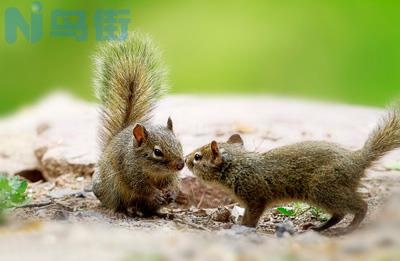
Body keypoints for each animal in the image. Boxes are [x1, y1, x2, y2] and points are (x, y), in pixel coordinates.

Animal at [91, 31, 185, 215]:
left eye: (179, 144)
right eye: (157, 152)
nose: (181, 165)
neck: (155, 172)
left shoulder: (169, 176)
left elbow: (171, 183)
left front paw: (171, 192)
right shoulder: (130, 169)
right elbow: (141, 187)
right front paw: (155, 193)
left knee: (147, 209)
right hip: (112, 187)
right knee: (118, 203)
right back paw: (124, 211)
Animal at [185, 105, 400, 232]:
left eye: (198, 157)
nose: (185, 159)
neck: (237, 166)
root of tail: (357, 160)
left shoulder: (255, 197)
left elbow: (252, 216)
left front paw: (244, 227)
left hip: (324, 188)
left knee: (360, 206)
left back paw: (350, 227)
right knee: (339, 214)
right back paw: (318, 228)